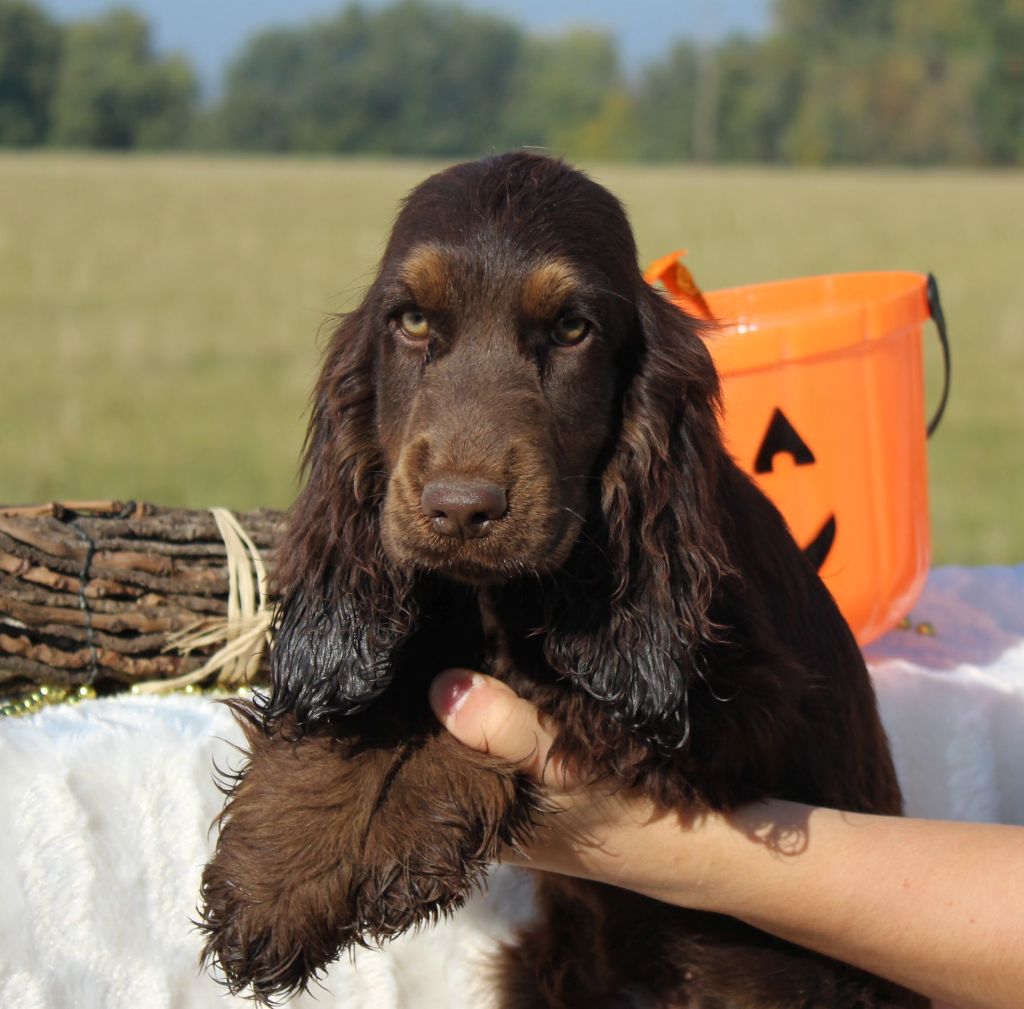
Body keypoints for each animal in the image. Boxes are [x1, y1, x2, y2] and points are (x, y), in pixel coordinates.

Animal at [199, 151, 929, 1007]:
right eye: (411, 321)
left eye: (572, 329)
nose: (461, 509)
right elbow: (372, 690)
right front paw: (280, 874)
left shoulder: (733, 701)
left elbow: (492, 688)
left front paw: (395, 827)